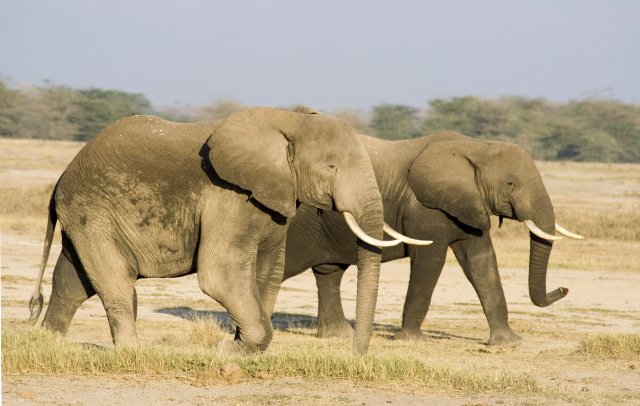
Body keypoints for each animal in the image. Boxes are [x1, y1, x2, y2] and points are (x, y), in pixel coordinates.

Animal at [29, 106, 427, 355]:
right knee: (115, 281)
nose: (356, 355)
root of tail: (62, 177)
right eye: (331, 166)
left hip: (87, 217)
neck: (289, 121)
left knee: (72, 280)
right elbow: (220, 274)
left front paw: (240, 349)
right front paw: (228, 350)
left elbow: (267, 274)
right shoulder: (227, 195)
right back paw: (131, 352)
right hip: (93, 211)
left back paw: (48, 343)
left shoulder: (273, 201)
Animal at [283, 131, 583, 345]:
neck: (476, 147)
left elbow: (481, 262)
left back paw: (337, 335)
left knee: (329, 274)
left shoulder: (468, 204)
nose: (564, 288)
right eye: (510, 183)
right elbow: (430, 260)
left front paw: (509, 343)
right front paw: (411, 341)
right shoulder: (424, 208)